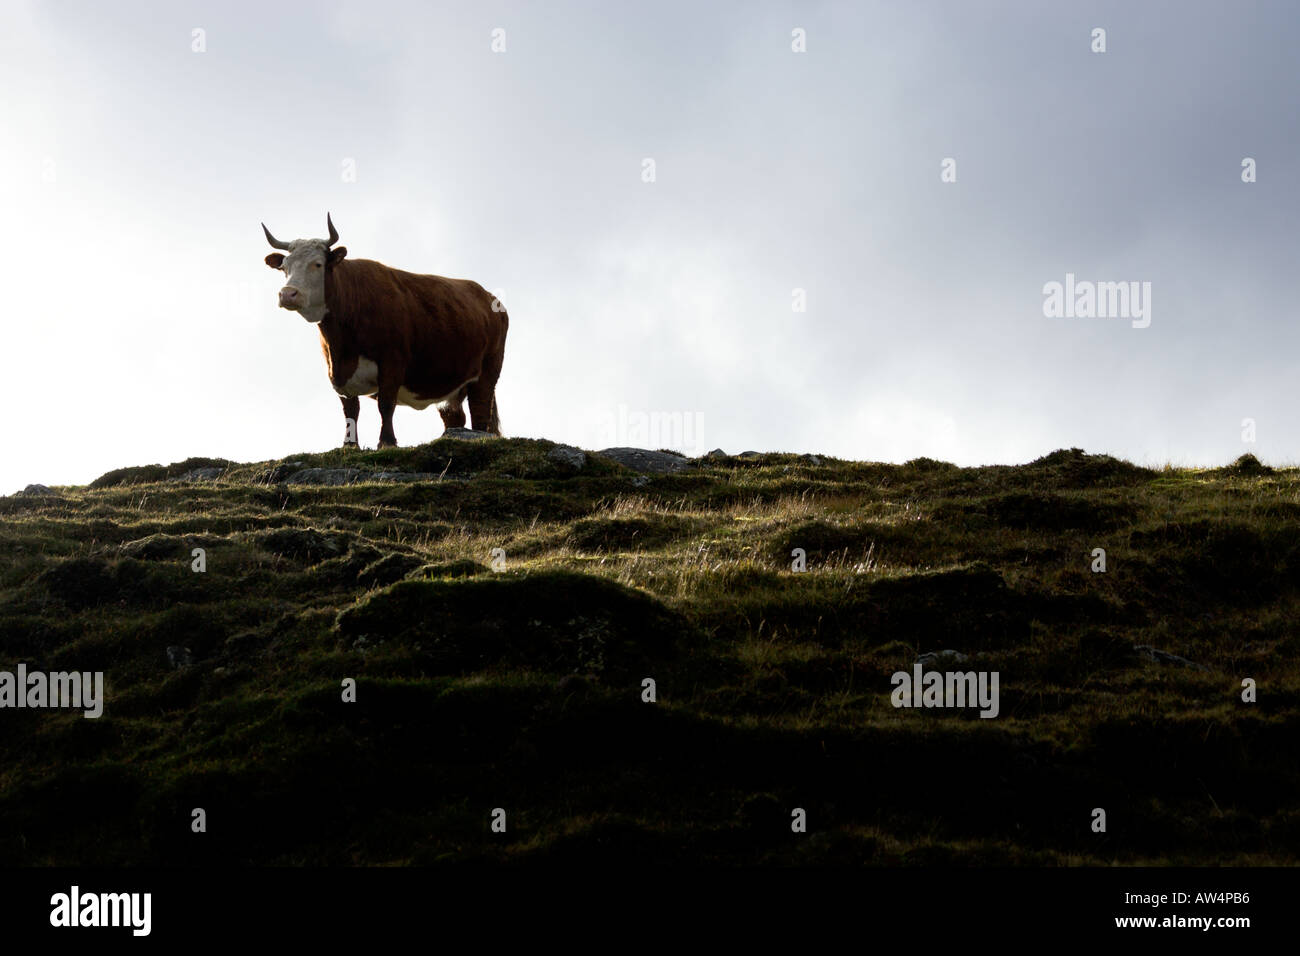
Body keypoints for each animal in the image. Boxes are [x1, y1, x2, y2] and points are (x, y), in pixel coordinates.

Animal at [261, 214, 507, 448]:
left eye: (317, 264)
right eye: (284, 267)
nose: (287, 294)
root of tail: (489, 297)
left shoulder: (392, 362)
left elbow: (386, 404)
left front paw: (387, 441)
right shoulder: (337, 374)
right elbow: (350, 410)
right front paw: (350, 445)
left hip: (487, 373)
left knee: (480, 412)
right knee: (455, 417)